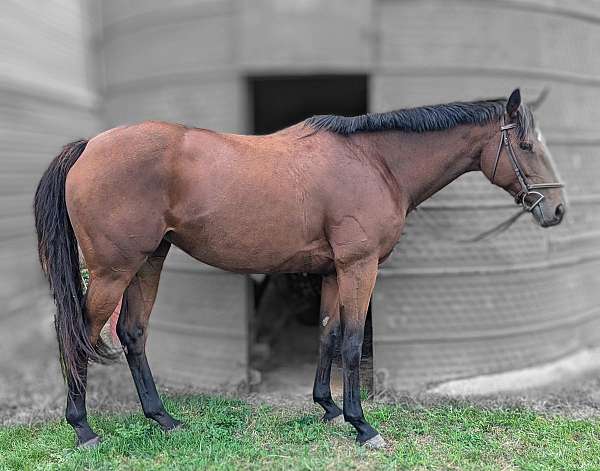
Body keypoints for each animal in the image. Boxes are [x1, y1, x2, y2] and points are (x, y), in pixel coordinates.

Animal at [35, 89, 564, 450]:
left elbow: (328, 334)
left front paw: (327, 406)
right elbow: (351, 340)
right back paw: (83, 428)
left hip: (148, 262)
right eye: (526, 145)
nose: (556, 210)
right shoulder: (358, 267)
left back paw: (162, 418)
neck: (375, 161)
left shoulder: (332, 272)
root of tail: (89, 146)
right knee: (79, 332)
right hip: (112, 271)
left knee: (132, 332)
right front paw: (362, 424)